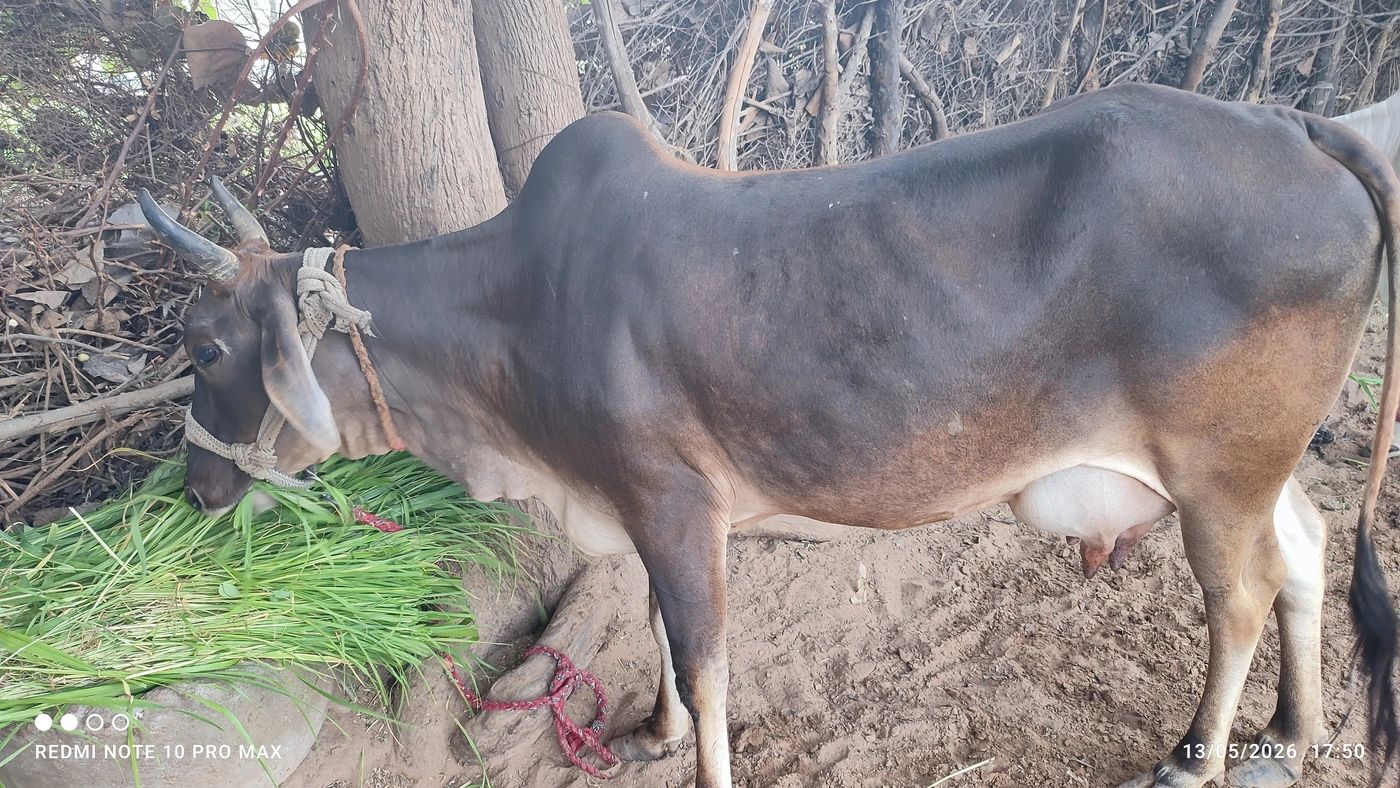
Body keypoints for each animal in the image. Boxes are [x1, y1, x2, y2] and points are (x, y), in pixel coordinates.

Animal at [140, 83, 1399, 788]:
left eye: (204, 346)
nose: (194, 490)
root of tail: (1298, 128)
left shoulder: (671, 498)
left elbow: (705, 659)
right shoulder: (641, 505)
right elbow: (659, 631)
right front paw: (646, 731)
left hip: (1213, 468)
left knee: (1238, 593)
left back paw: (1191, 760)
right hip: (1253, 463)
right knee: (1301, 548)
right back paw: (1285, 737)